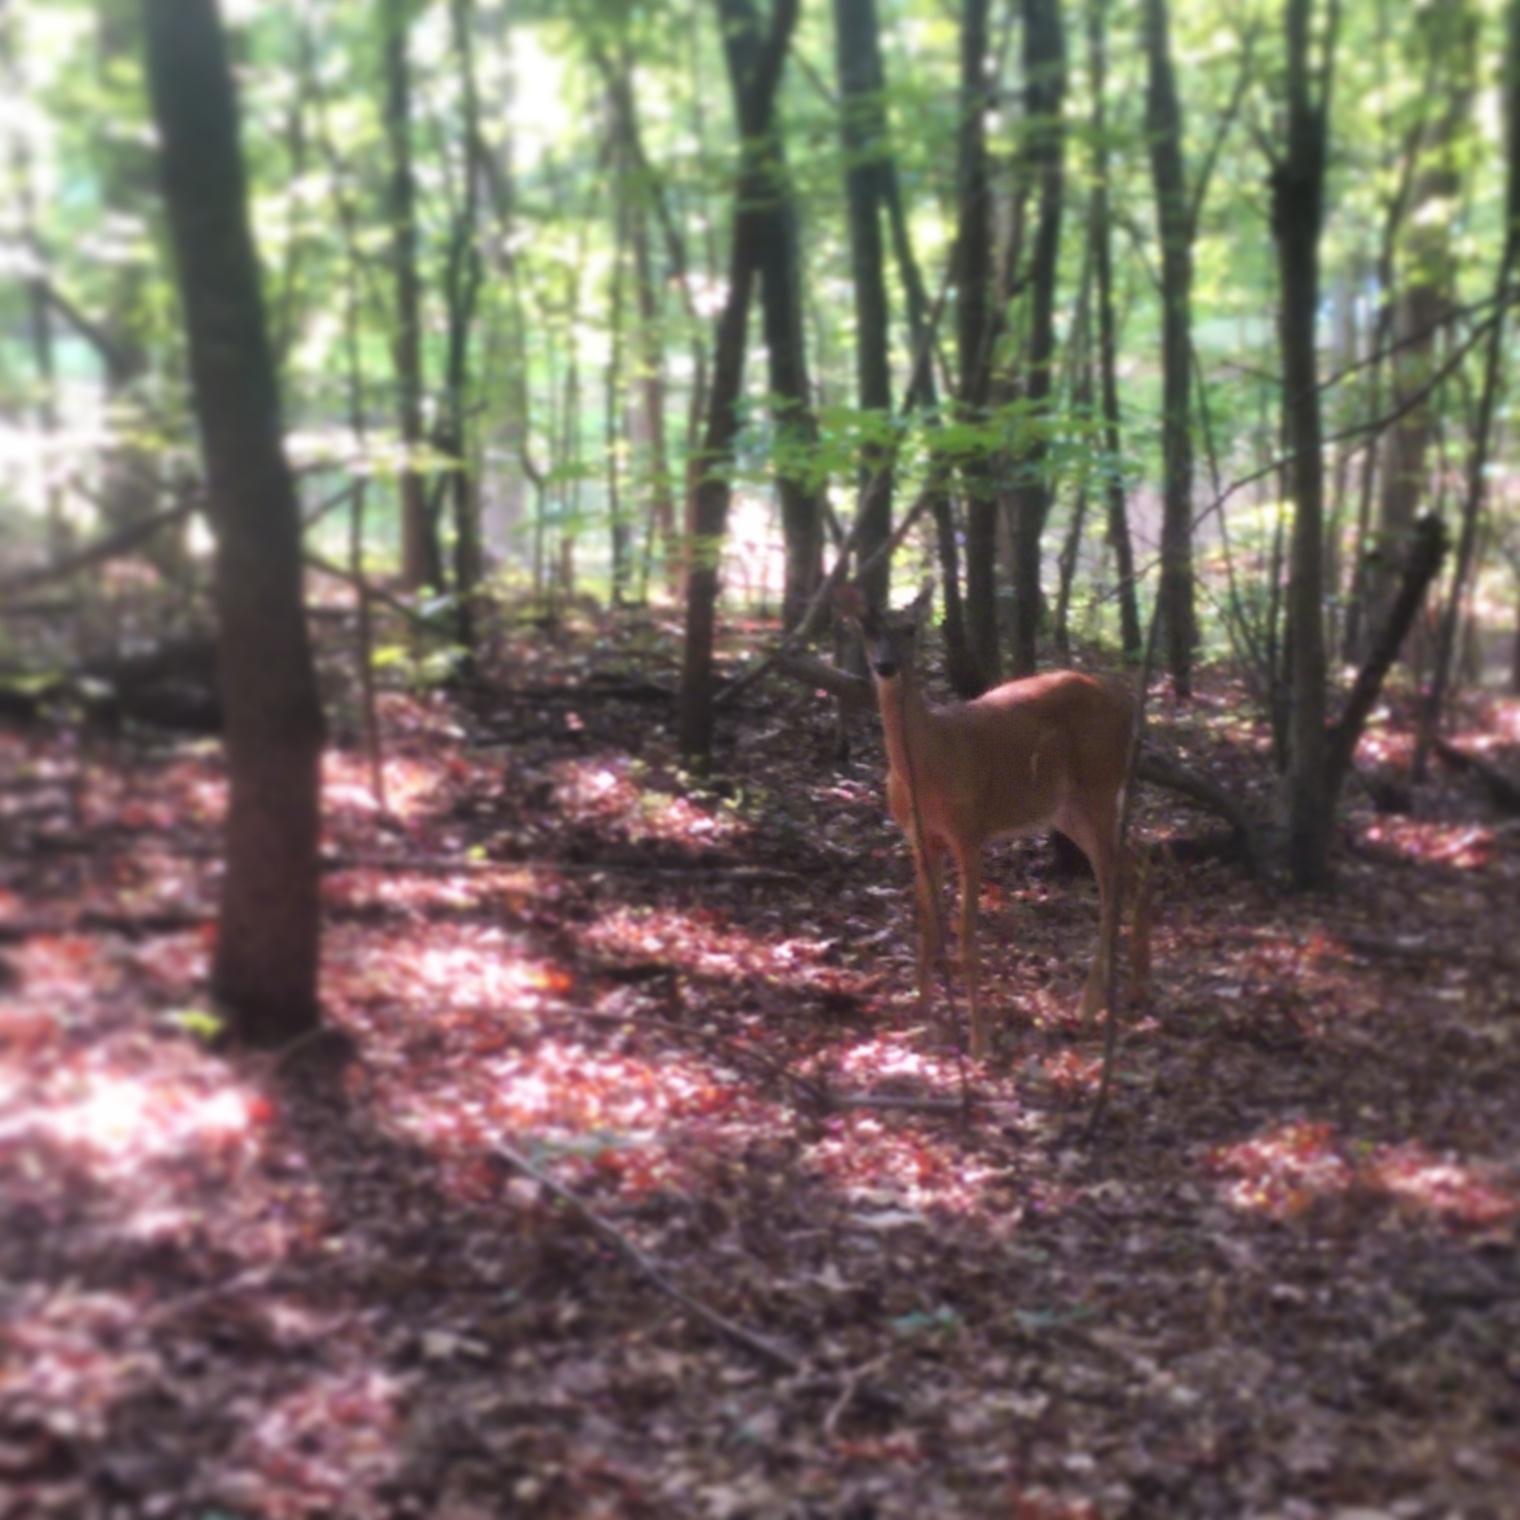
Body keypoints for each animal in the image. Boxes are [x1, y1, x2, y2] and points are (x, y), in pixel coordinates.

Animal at [835, 582, 1135, 1060]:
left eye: (911, 628)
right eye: (867, 627)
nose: (885, 666)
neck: (927, 767)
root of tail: (1128, 704)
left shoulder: (969, 832)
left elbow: (966, 936)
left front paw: (977, 1041)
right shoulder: (920, 838)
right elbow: (926, 925)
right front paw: (920, 1017)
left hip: (1100, 787)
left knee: (1114, 878)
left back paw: (1089, 1006)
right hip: (1067, 808)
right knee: (1134, 867)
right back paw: (1130, 991)